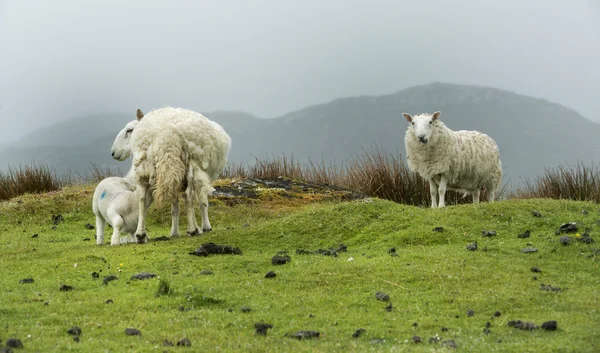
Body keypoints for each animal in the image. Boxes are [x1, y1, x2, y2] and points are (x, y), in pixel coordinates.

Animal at [110, 106, 232, 242]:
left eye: (129, 130)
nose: (113, 153)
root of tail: (166, 136)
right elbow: (201, 201)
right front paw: (202, 227)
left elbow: (178, 206)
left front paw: (180, 230)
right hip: (188, 164)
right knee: (188, 195)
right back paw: (192, 229)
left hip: (146, 167)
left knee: (141, 199)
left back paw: (140, 234)